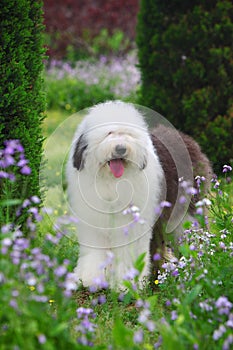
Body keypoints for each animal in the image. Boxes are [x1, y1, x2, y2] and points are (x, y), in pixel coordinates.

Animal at [66, 100, 212, 288]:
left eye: (128, 134)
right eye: (109, 133)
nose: (121, 148)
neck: (111, 182)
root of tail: (187, 139)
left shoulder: (131, 224)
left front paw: (127, 284)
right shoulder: (93, 222)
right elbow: (94, 251)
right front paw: (90, 279)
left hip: (185, 210)